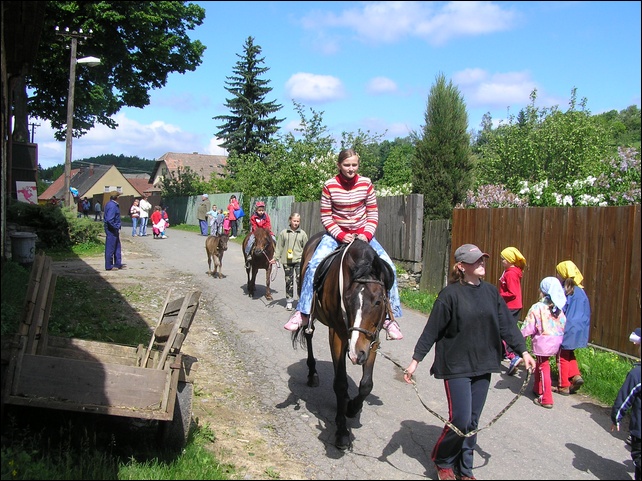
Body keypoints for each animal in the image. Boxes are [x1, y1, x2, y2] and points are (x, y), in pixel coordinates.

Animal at [292, 232, 392, 450]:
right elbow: (340, 383)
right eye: (347, 298)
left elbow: (366, 385)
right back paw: (312, 374)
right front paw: (341, 432)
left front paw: (353, 407)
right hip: (311, 314)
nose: (357, 353)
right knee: (309, 334)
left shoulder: (373, 338)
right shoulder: (337, 334)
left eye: (378, 301)